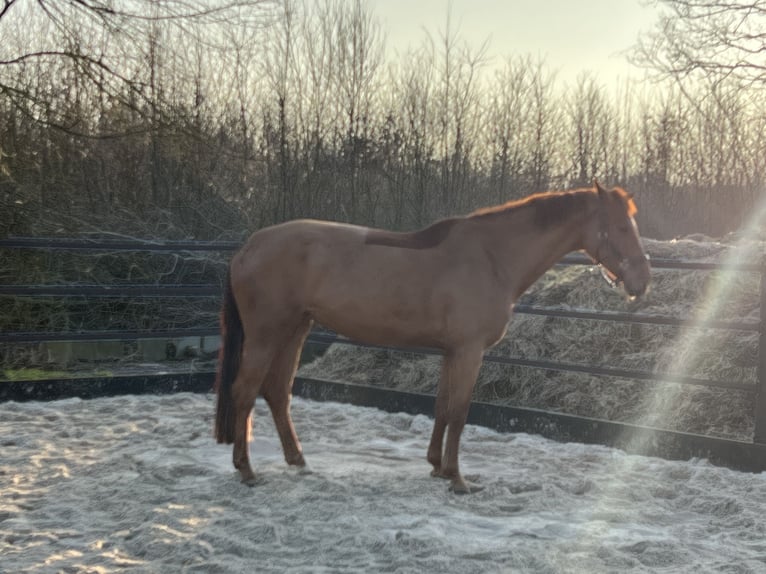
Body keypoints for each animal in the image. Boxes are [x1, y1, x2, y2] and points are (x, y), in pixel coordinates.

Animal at [213, 183, 652, 496]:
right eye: (621, 227)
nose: (642, 282)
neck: (493, 257)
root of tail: (249, 247)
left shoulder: (451, 353)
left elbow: (442, 407)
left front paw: (438, 467)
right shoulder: (470, 352)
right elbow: (459, 412)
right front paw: (458, 479)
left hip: (295, 330)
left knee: (277, 392)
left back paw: (298, 460)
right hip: (267, 334)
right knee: (245, 392)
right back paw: (247, 471)